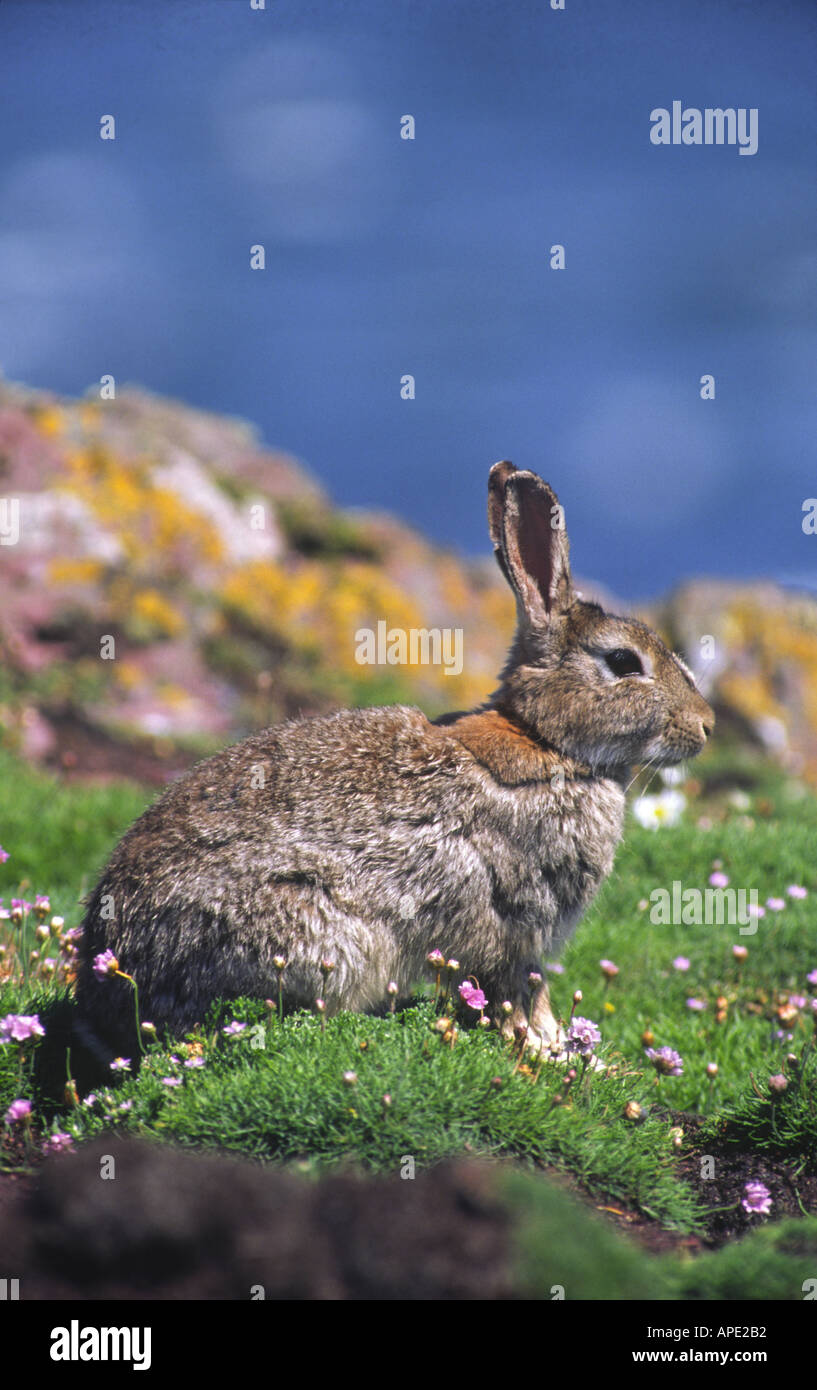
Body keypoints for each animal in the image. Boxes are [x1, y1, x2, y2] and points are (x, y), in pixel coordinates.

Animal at [73, 461, 713, 1067]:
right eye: (624, 662)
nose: (705, 725)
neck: (549, 742)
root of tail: (108, 986)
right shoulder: (515, 925)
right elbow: (522, 995)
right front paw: (549, 1050)